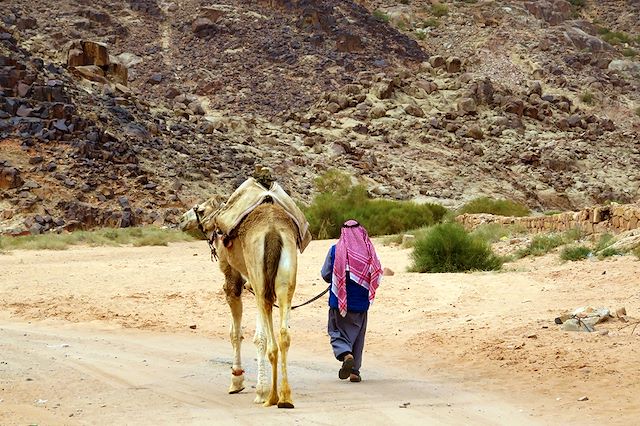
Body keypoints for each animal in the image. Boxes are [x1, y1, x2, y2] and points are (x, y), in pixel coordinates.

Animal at [180, 198, 300, 408]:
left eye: (200, 210)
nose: (182, 220)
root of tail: (273, 231)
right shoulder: (252, 282)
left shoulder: (233, 279)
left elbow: (235, 333)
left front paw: (237, 381)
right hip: (285, 277)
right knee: (283, 334)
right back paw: (284, 397)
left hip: (260, 277)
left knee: (268, 337)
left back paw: (269, 395)